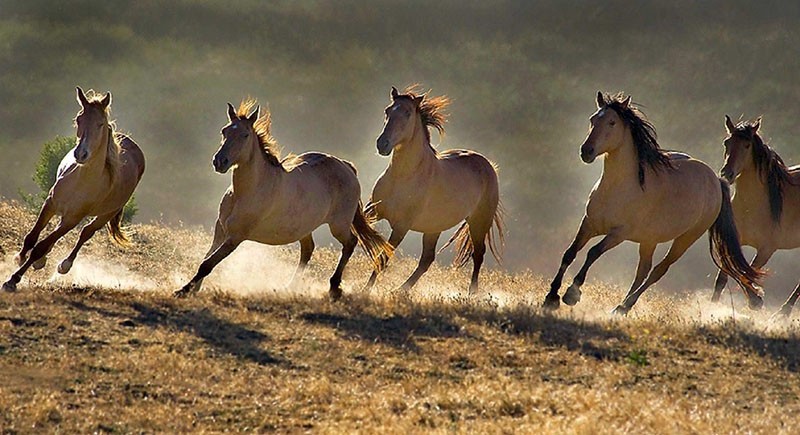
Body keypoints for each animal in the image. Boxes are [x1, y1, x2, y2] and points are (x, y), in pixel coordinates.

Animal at [1, 87, 145, 292]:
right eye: (79, 119)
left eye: (100, 124)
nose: (81, 154)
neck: (81, 181)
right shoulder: (50, 203)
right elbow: (32, 237)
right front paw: (18, 258)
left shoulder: (73, 218)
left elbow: (40, 247)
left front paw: (12, 280)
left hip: (106, 214)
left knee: (86, 232)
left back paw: (64, 265)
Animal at [178, 100, 396, 302]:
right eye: (224, 131)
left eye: (245, 135)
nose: (219, 162)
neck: (247, 191)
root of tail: (346, 166)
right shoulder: (221, 229)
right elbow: (206, 259)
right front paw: (193, 289)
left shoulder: (236, 236)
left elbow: (207, 264)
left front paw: (183, 291)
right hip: (305, 227)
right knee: (308, 249)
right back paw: (289, 287)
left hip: (339, 224)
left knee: (350, 243)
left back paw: (334, 288)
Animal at [364, 86, 504, 292]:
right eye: (387, 111)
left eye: (407, 113)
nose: (382, 144)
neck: (403, 176)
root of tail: (488, 165)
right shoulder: (373, 210)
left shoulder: (402, 225)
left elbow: (383, 257)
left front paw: (364, 290)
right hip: (434, 227)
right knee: (427, 260)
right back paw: (400, 290)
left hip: (479, 221)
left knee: (478, 254)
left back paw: (471, 294)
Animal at [544, 92, 764, 316]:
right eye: (592, 119)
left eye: (612, 122)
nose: (586, 151)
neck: (618, 188)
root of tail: (716, 180)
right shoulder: (589, 223)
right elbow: (569, 253)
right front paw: (551, 298)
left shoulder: (618, 234)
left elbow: (592, 253)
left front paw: (571, 294)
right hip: (649, 239)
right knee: (643, 270)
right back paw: (621, 308)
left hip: (686, 238)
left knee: (658, 270)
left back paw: (624, 306)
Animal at [716, 116, 800, 320]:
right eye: (727, 142)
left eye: (747, 145)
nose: (727, 173)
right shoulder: (732, 242)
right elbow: (723, 278)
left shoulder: (766, 249)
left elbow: (747, 273)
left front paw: (756, 301)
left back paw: (783, 312)